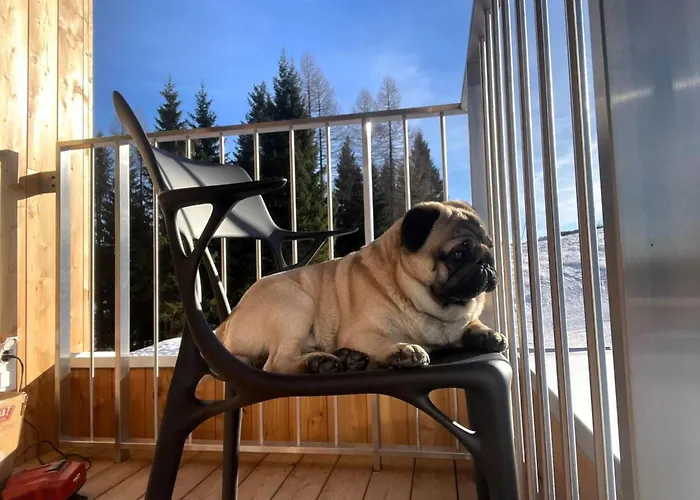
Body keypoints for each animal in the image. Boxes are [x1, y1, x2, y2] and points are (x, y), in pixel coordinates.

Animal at [214, 199, 506, 374]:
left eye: (490, 248)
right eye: (458, 254)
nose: (486, 263)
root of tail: (227, 324)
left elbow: (473, 325)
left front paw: (487, 334)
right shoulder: (361, 333)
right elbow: (383, 341)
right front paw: (402, 349)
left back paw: (345, 358)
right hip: (295, 303)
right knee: (276, 362)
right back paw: (321, 362)